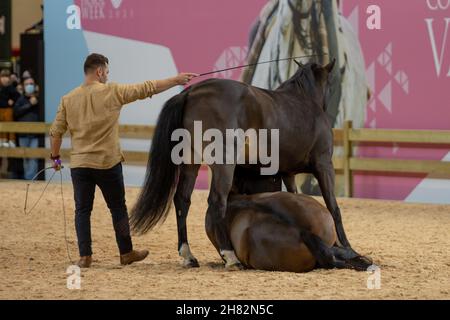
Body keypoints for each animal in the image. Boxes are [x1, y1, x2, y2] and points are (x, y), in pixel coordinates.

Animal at [129, 60, 370, 270]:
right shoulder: (324, 165)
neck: (304, 102)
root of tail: (191, 92)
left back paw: (188, 255)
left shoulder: (287, 172)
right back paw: (230, 257)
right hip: (224, 163)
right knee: (217, 201)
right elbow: (333, 207)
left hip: (190, 161)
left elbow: (295, 194)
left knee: (182, 200)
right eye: (332, 83)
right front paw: (346, 244)